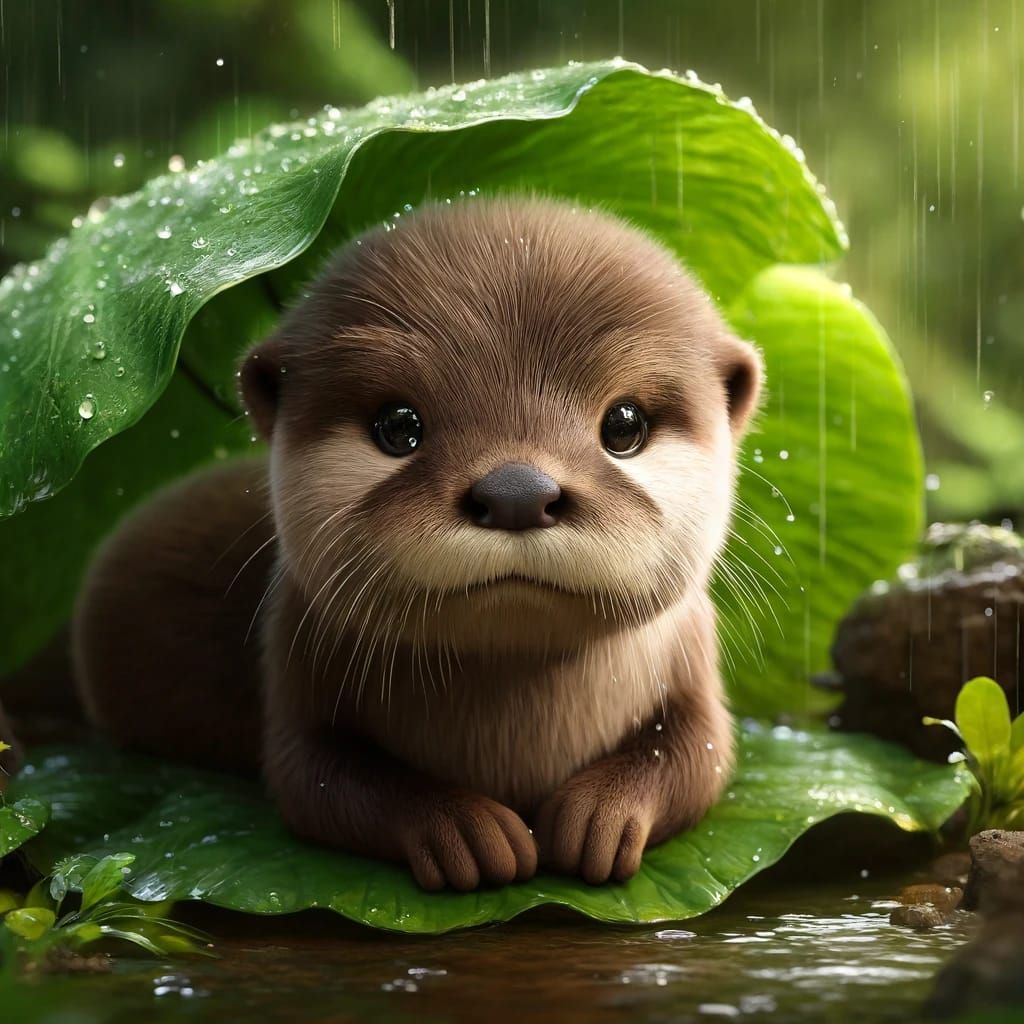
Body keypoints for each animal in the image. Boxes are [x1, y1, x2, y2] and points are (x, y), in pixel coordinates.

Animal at [72, 198, 761, 891]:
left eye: (624, 425)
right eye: (399, 426)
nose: (517, 491)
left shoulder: (692, 654)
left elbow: (699, 756)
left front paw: (602, 817)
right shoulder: (295, 654)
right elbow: (319, 778)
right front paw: (463, 829)